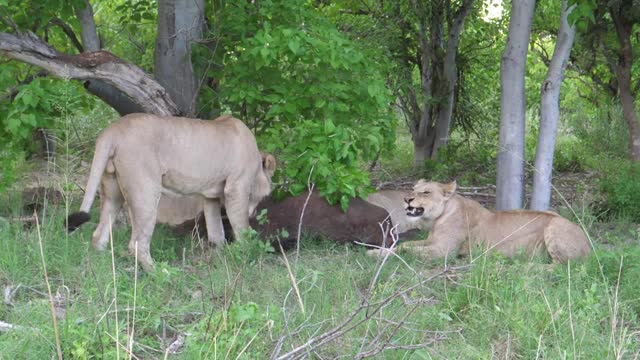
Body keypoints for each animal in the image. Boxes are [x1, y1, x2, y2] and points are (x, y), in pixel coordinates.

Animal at [67, 113, 276, 270]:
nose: (255, 212)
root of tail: (114, 129)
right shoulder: (236, 188)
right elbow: (242, 229)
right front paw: (246, 257)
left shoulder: (210, 197)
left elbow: (217, 233)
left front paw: (218, 259)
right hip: (146, 191)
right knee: (137, 243)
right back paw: (160, 273)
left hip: (113, 191)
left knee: (99, 234)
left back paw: (104, 267)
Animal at [370, 179, 592, 262]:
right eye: (413, 189)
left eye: (425, 192)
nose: (407, 199)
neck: (438, 219)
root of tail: (590, 246)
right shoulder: (430, 241)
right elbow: (407, 244)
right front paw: (375, 251)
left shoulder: (443, 252)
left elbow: (404, 250)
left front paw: (375, 254)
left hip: (555, 225)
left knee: (564, 266)